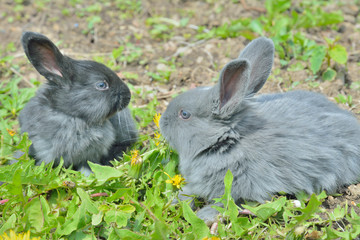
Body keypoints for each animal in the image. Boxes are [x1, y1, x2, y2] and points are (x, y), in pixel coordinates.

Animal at [160, 36, 360, 224]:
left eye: (184, 114)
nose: (162, 121)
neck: (230, 141)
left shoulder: (242, 189)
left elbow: (227, 204)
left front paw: (204, 216)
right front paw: (175, 201)